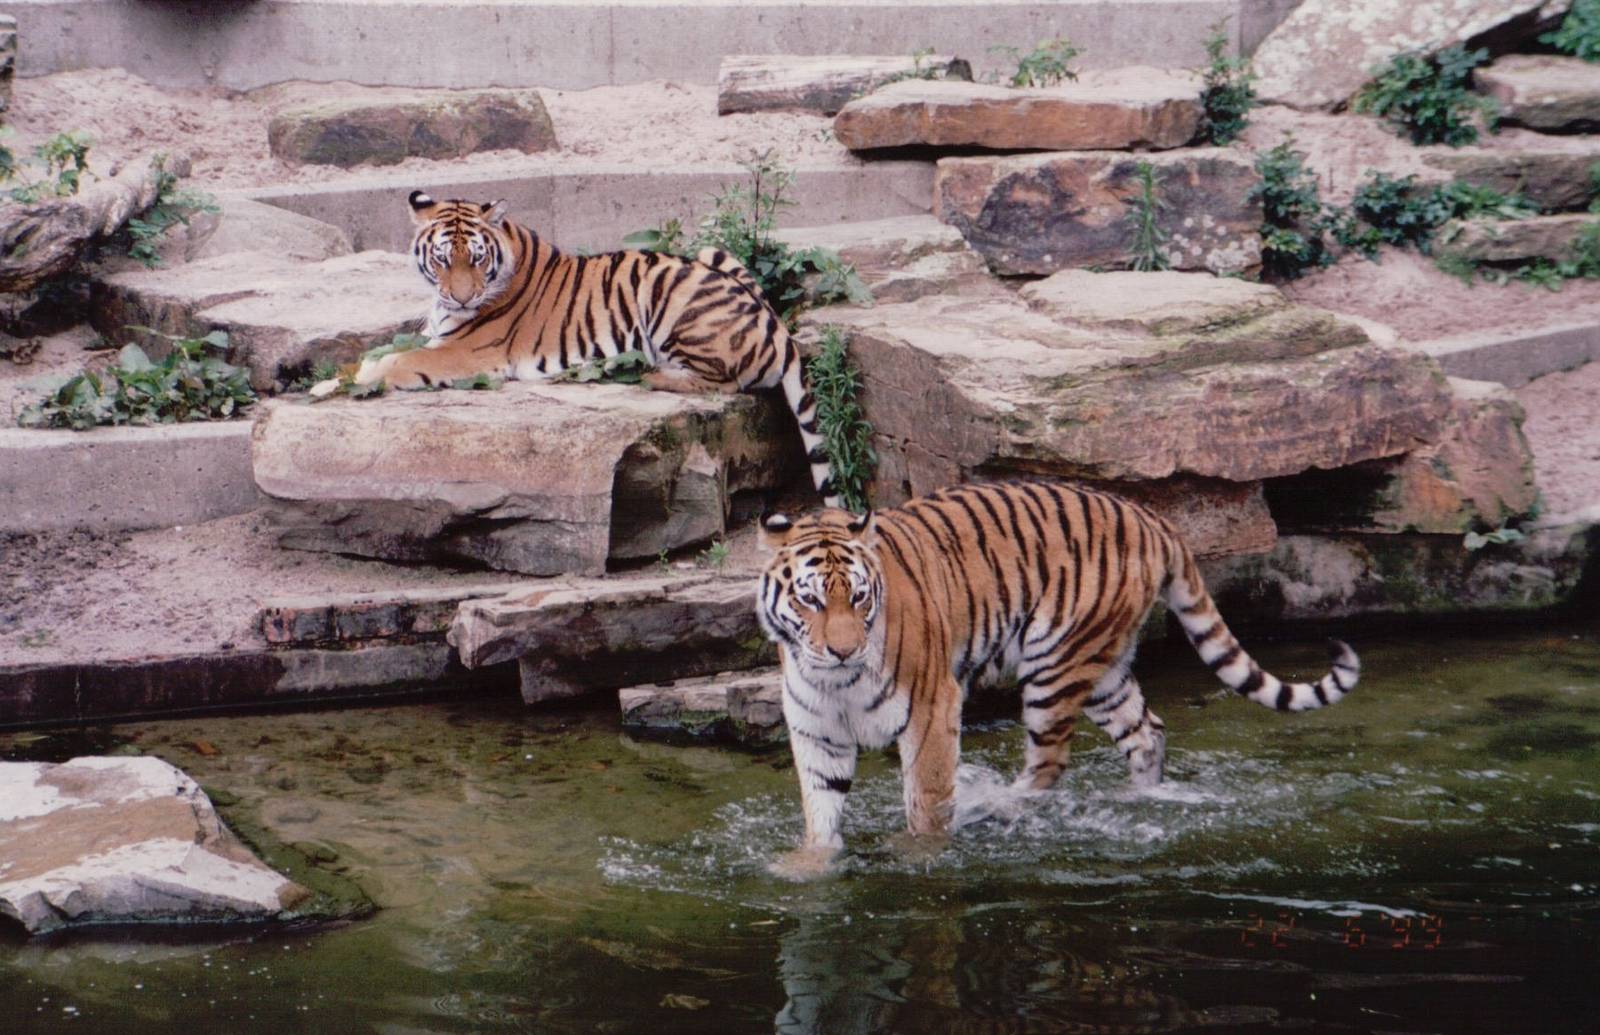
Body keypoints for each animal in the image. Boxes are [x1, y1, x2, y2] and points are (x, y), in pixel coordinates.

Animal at [322, 191, 840, 506]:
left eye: (478, 258)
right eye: (443, 259)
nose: (463, 297)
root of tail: (776, 324)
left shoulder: (466, 352)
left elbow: (400, 360)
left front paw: (365, 378)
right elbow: (367, 356)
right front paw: (330, 381)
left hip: (674, 294)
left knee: (727, 382)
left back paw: (651, 373)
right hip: (712, 254)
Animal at [755, 479, 1359, 878]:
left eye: (858, 597)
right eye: (810, 601)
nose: (843, 650)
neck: (836, 682)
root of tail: (1151, 517)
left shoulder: (931, 709)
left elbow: (925, 800)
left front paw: (918, 853)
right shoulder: (816, 729)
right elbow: (821, 809)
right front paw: (808, 865)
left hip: (1054, 665)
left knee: (1048, 767)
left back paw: (998, 804)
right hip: (1105, 670)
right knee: (1148, 731)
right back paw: (1141, 796)